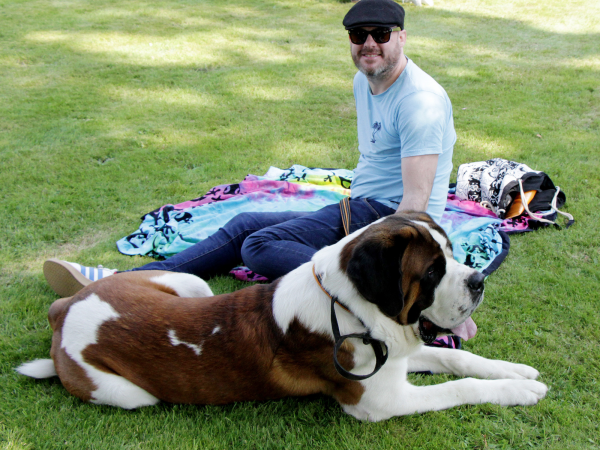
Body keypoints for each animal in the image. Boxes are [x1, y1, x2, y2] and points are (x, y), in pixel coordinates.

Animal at [17, 213, 548, 420]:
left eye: (454, 255)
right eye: (433, 271)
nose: (478, 281)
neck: (351, 307)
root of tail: (65, 311)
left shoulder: (395, 355)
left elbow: (458, 361)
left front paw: (516, 372)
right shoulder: (379, 401)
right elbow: (458, 388)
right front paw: (518, 391)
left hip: (190, 285)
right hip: (130, 395)